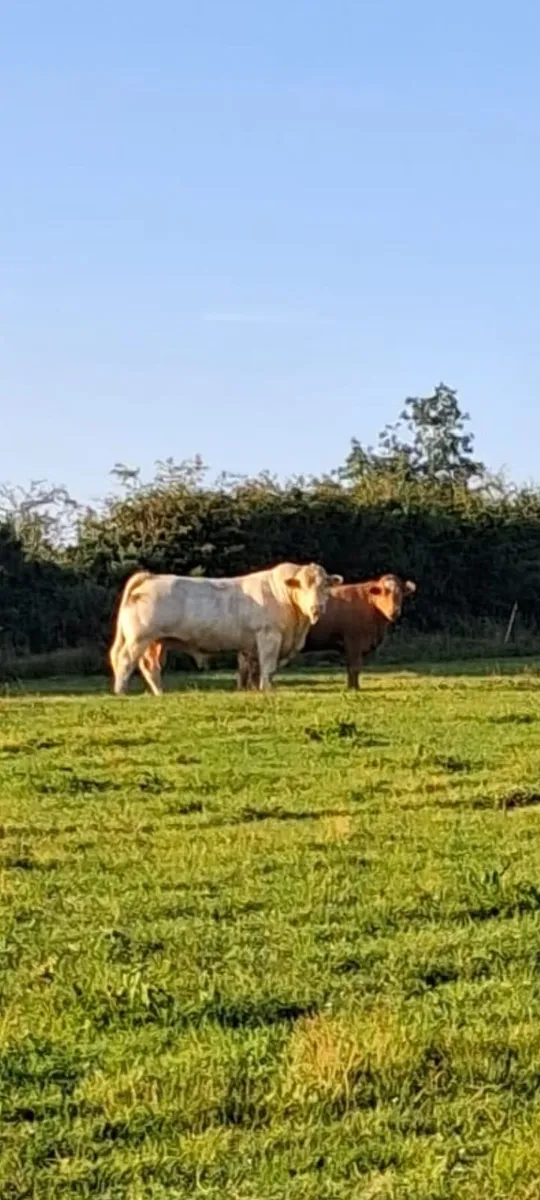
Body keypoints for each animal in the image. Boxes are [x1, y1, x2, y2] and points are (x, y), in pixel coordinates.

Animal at [109, 562, 343, 695]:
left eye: (325, 585)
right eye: (302, 586)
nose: (316, 608)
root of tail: (149, 577)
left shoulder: (250, 646)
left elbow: (250, 669)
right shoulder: (269, 636)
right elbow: (268, 667)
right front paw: (267, 690)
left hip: (155, 642)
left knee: (150, 667)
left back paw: (160, 693)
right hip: (139, 638)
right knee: (125, 660)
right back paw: (120, 692)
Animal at [236, 574, 416, 690]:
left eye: (400, 593)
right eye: (384, 592)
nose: (395, 612)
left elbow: (352, 667)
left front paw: (353, 686)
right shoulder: (354, 641)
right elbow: (354, 666)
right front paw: (354, 688)